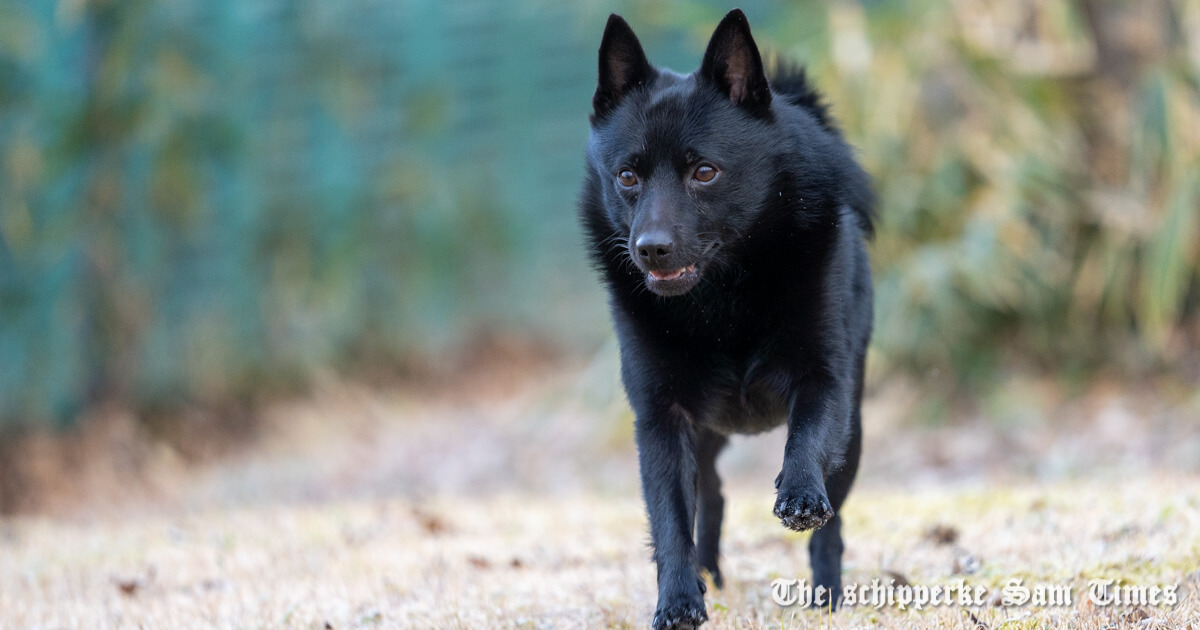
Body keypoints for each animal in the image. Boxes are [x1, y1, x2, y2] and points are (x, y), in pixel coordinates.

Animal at [578, 9, 873, 628]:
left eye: (705, 172)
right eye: (627, 176)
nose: (650, 249)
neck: (722, 303)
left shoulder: (824, 381)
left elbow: (807, 439)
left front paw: (799, 493)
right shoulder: (661, 419)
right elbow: (670, 520)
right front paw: (678, 601)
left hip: (853, 434)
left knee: (831, 525)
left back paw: (826, 594)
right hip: (706, 433)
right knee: (710, 493)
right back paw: (709, 574)